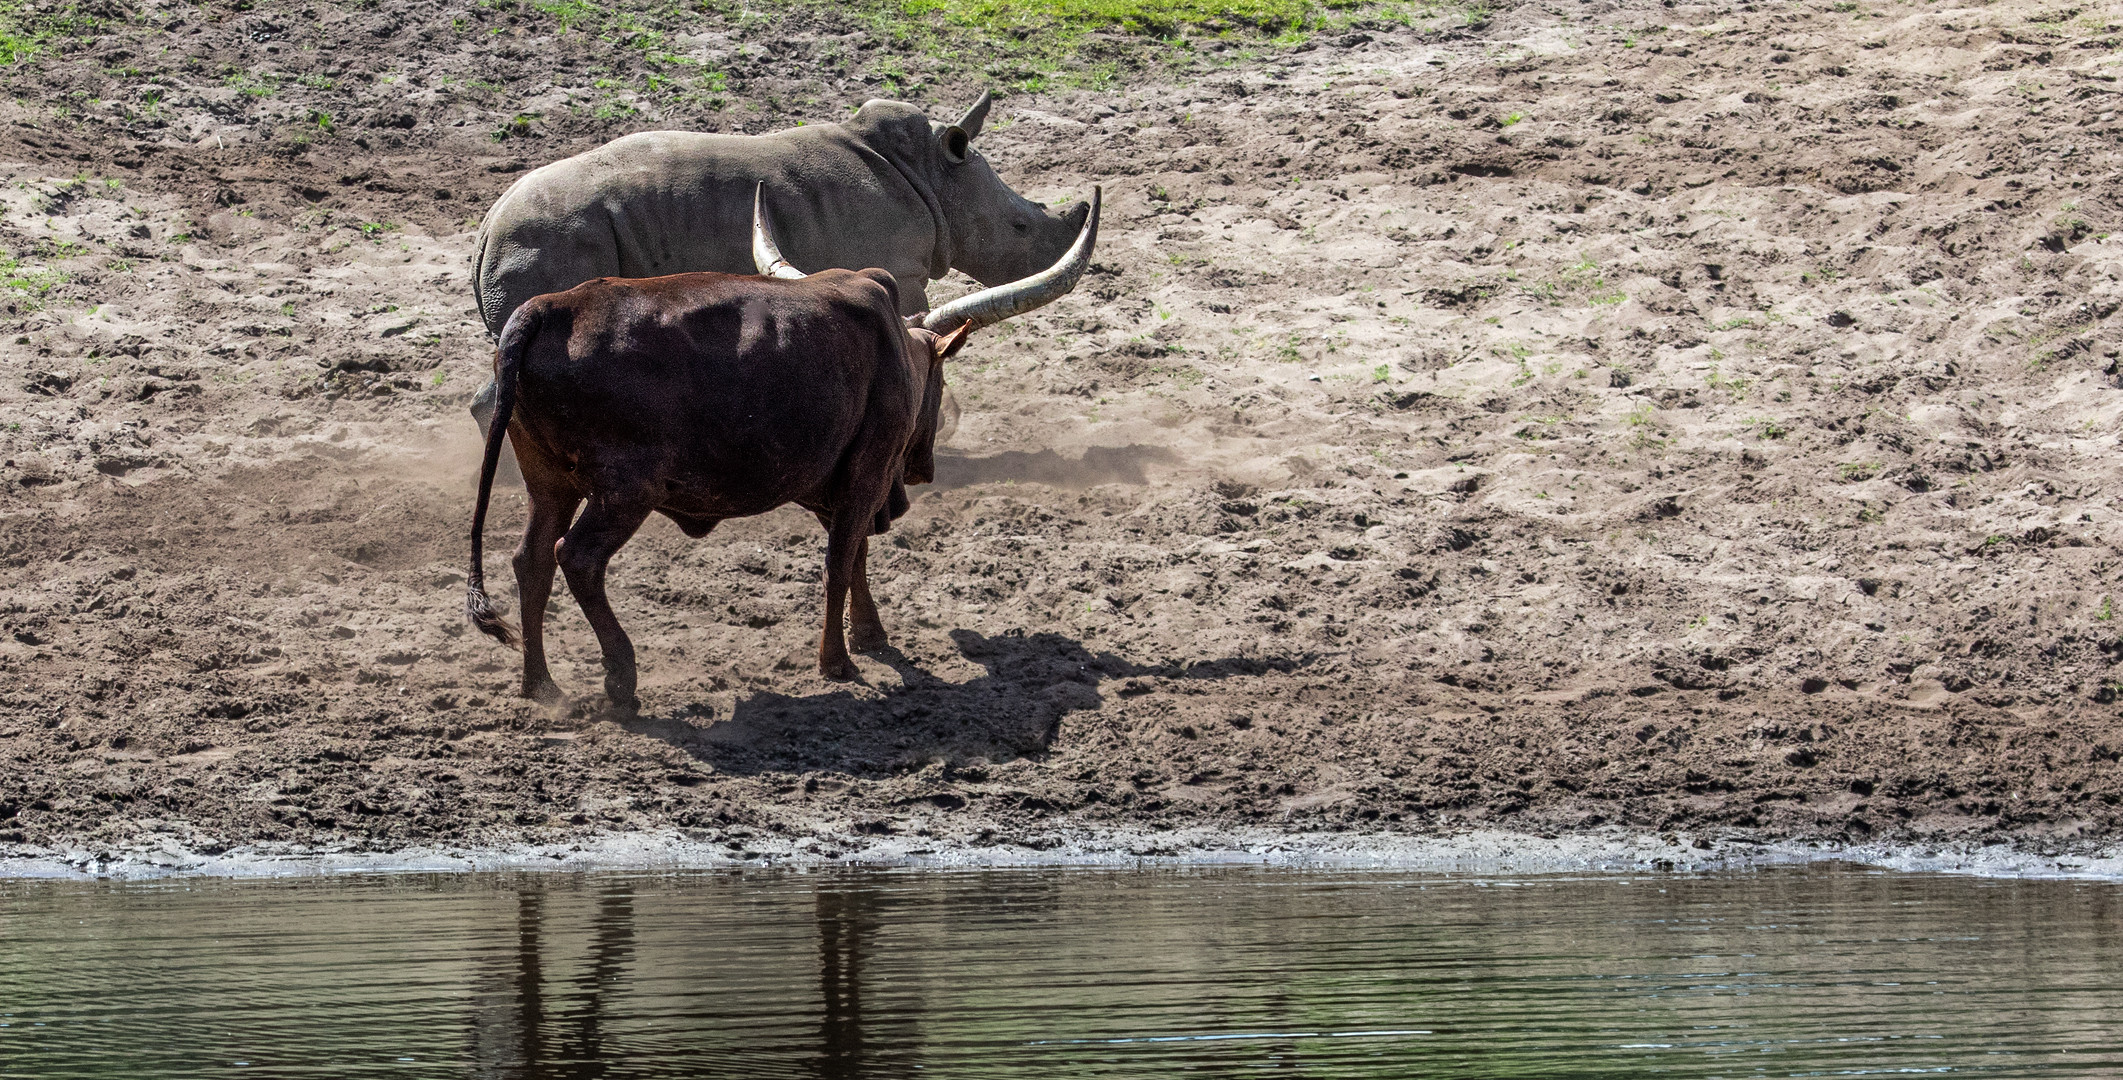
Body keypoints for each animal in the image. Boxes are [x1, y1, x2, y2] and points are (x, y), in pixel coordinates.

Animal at [471, 181, 1103, 712]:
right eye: (940, 380)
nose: (924, 467)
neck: (892, 345)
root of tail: (549, 308)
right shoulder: (867, 474)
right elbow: (839, 561)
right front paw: (837, 661)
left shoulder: (845, 483)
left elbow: (855, 555)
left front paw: (869, 635)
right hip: (623, 492)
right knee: (576, 559)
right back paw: (620, 677)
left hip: (549, 483)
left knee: (531, 560)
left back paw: (541, 684)